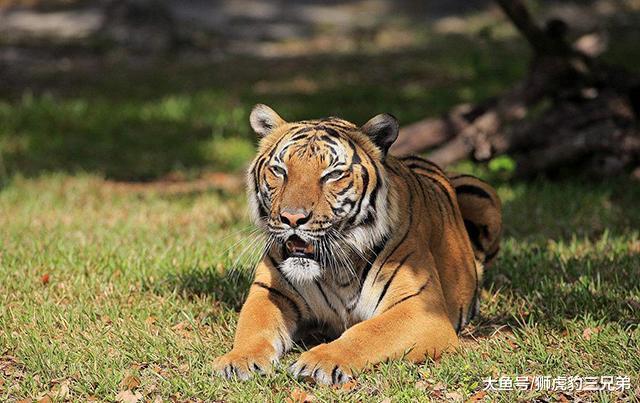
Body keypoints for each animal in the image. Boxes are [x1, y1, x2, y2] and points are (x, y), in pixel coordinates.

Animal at [213, 104, 502, 385]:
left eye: (332, 174)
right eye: (279, 171)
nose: (292, 218)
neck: (334, 269)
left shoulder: (422, 309)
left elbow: (368, 332)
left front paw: (319, 361)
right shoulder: (271, 291)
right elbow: (253, 327)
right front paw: (238, 360)